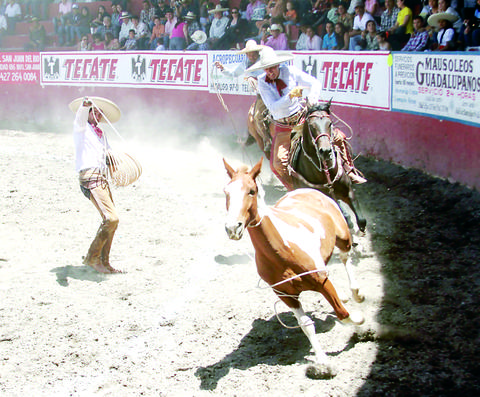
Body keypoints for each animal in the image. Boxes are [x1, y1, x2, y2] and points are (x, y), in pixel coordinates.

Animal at [224, 157, 364, 378]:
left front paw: (360, 322)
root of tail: (307, 190)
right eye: (226, 192)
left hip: (343, 236)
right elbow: (306, 324)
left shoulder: (322, 282)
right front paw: (323, 363)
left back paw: (356, 292)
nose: (232, 228)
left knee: (345, 257)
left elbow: (343, 313)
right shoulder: (285, 294)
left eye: (251, 191)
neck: (282, 251)